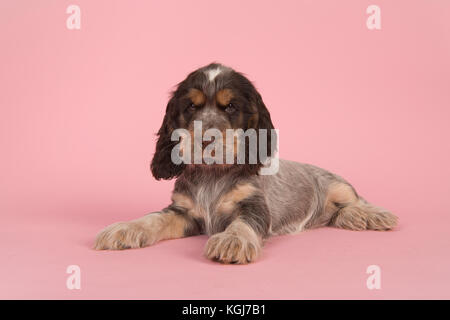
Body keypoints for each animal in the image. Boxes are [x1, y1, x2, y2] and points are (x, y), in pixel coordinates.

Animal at [94, 63, 398, 264]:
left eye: (230, 107)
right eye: (191, 107)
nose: (205, 140)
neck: (211, 175)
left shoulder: (254, 205)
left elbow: (243, 223)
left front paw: (232, 241)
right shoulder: (183, 212)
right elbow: (153, 218)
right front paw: (124, 229)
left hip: (337, 184)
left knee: (355, 201)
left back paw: (371, 215)